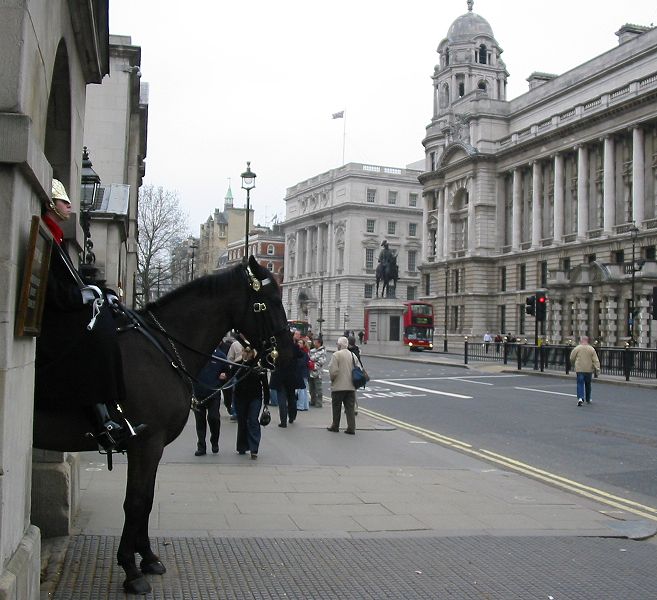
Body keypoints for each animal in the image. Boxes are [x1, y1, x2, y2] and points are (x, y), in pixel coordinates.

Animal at [32, 255, 294, 592]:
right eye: (272, 300)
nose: (288, 353)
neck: (163, 348)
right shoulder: (145, 442)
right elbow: (135, 501)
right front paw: (131, 570)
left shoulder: (152, 446)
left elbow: (147, 499)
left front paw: (147, 557)